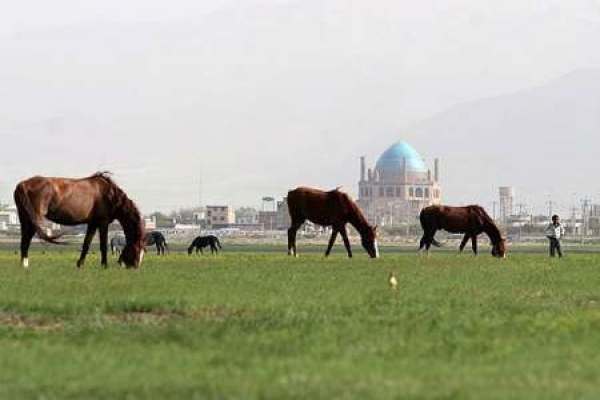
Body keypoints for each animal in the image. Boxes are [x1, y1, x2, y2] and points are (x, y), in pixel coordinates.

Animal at [13, 172, 145, 268]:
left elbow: (86, 244)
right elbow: (103, 245)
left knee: (24, 240)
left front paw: (80, 264)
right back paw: (25, 266)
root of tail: (22, 185)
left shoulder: (92, 223)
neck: (110, 195)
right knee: (26, 240)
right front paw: (104, 265)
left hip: (24, 218)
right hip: (33, 219)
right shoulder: (103, 222)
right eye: (137, 249)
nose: (134, 267)